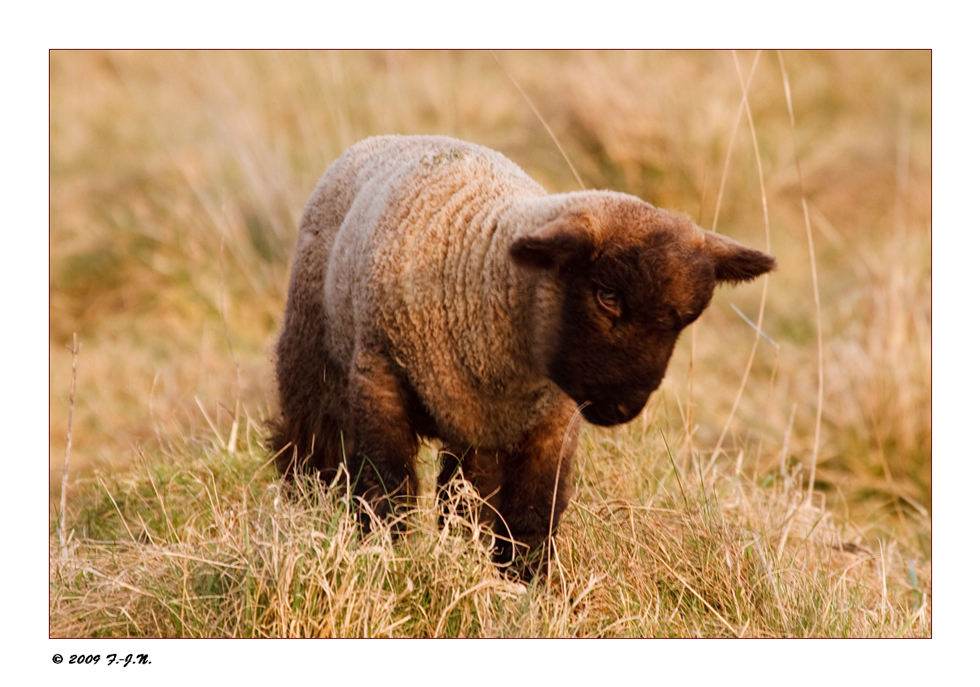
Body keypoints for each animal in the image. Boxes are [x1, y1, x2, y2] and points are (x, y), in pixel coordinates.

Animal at [268, 134, 772, 576]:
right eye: (607, 295)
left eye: (684, 320)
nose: (624, 407)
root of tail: (384, 138)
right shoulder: (380, 379)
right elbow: (387, 490)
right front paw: (383, 559)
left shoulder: (550, 423)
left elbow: (531, 513)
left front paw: (525, 587)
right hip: (313, 361)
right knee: (312, 450)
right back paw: (302, 507)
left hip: (477, 434)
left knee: (465, 501)